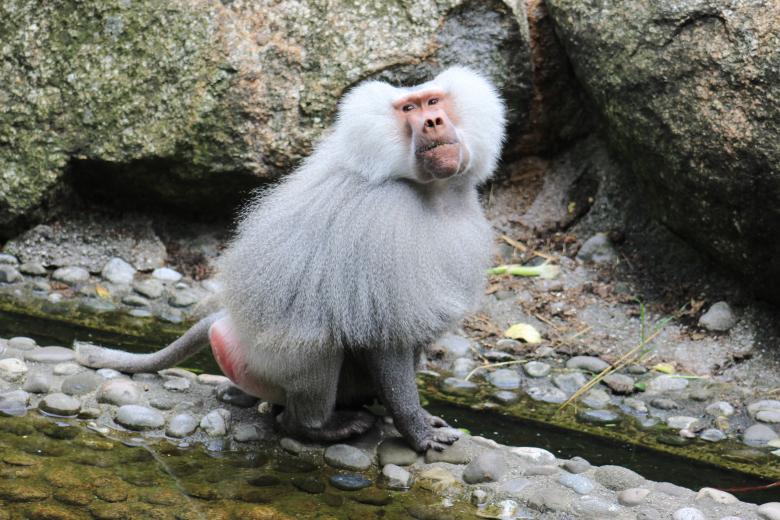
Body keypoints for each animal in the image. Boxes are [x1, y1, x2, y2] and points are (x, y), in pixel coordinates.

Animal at [75, 66, 506, 452]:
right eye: (409, 109)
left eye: (433, 102)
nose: (433, 121)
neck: (432, 192)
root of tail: (231, 325)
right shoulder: (381, 225)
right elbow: (386, 336)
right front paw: (418, 430)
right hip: (268, 363)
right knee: (316, 339)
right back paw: (318, 426)